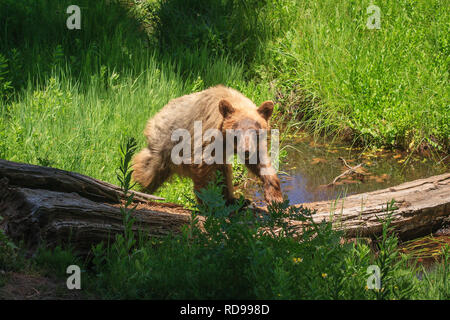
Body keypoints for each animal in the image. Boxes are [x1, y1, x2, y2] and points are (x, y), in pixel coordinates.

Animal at [132, 85, 284, 204]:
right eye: (236, 132)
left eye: (255, 131)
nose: (246, 151)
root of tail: (157, 115)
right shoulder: (208, 134)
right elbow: (203, 165)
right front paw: (207, 201)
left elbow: (260, 162)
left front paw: (275, 196)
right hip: (166, 142)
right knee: (149, 169)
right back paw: (138, 186)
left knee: (224, 172)